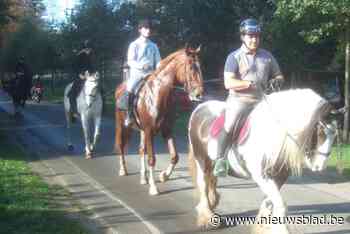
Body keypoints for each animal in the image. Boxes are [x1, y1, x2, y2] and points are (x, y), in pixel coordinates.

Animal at [115, 46, 204, 196]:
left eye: (200, 66)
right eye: (191, 67)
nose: (199, 94)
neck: (158, 95)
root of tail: (119, 88)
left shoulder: (166, 130)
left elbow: (175, 156)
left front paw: (164, 176)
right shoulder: (149, 131)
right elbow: (152, 159)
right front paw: (153, 187)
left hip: (141, 131)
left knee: (141, 150)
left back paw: (143, 178)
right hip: (122, 126)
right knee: (121, 145)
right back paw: (122, 170)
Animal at [189, 89, 340, 232]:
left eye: (335, 135)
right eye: (320, 132)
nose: (320, 166)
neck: (272, 134)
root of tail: (200, 107)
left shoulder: (279, 176)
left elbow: (270, 202)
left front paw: (262, 227)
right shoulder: (261, 176)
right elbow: (280, 204)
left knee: (211, 181)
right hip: (201, 159)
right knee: (203, 184)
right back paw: (207, 219)